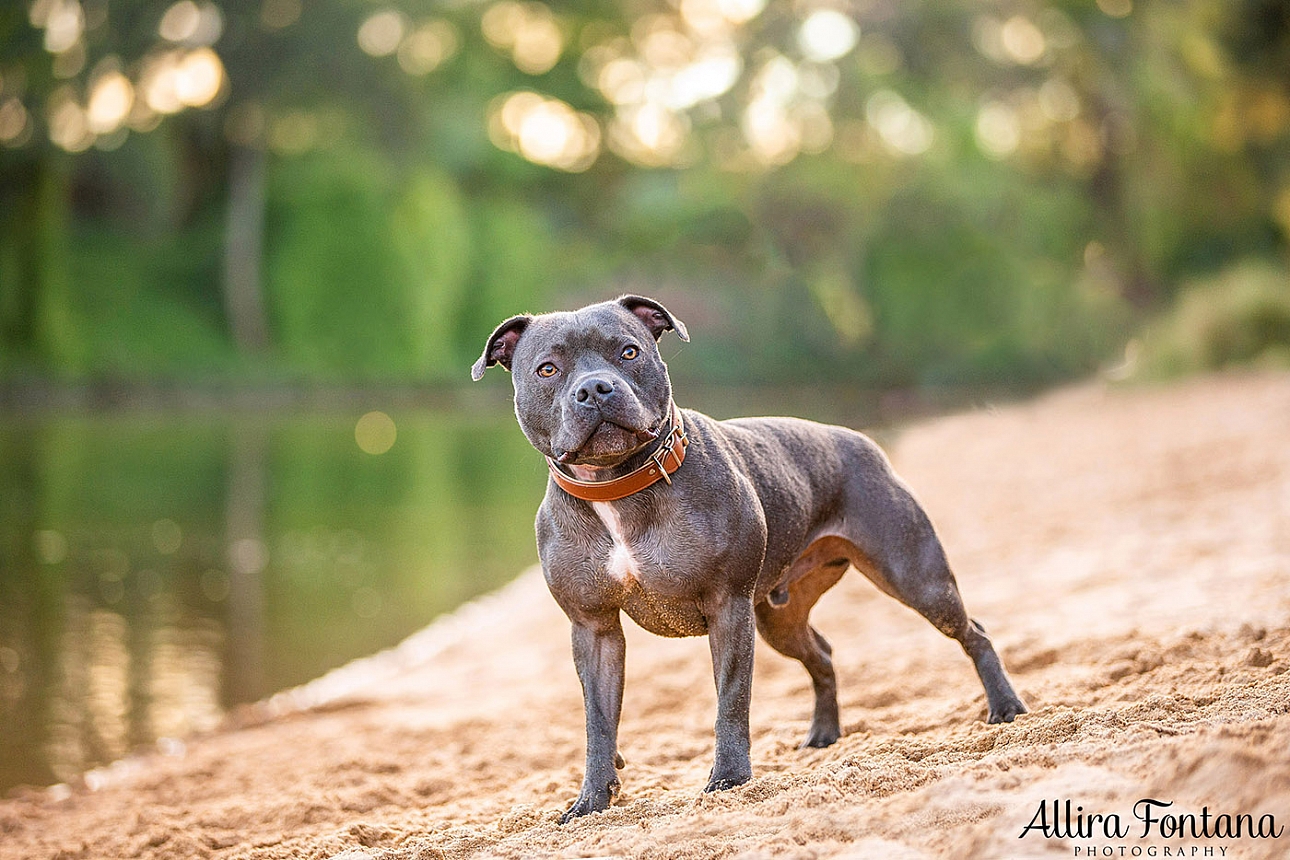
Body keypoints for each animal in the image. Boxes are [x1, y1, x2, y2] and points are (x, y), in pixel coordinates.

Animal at [474, 293, 1026, 820]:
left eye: (628, 352)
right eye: (548, 369)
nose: (595, 389)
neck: (617, 485)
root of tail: (860, 439)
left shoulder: (728, 607)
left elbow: (731, 701)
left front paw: (729, 779)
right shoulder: (594, 630)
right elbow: (599, 722)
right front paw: (591, 800)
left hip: (915, 576)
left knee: (973, 633)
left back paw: (1005, 707)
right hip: (780, 619)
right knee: (822, 653)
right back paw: (824, 734)